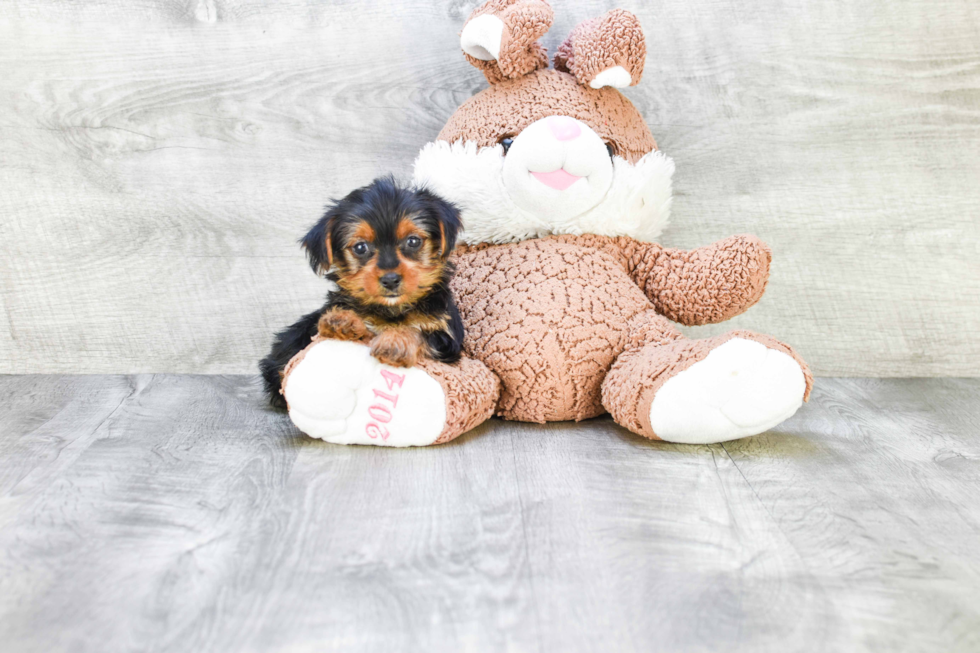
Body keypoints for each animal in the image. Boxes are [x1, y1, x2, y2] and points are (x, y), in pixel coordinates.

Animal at [256, 174, 464, 408]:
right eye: (360, 247)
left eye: (413, 241)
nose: (390, 279)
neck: (391, 309)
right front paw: (343, 319)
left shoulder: (446, 335)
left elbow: (418, 331)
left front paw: (395, 341)